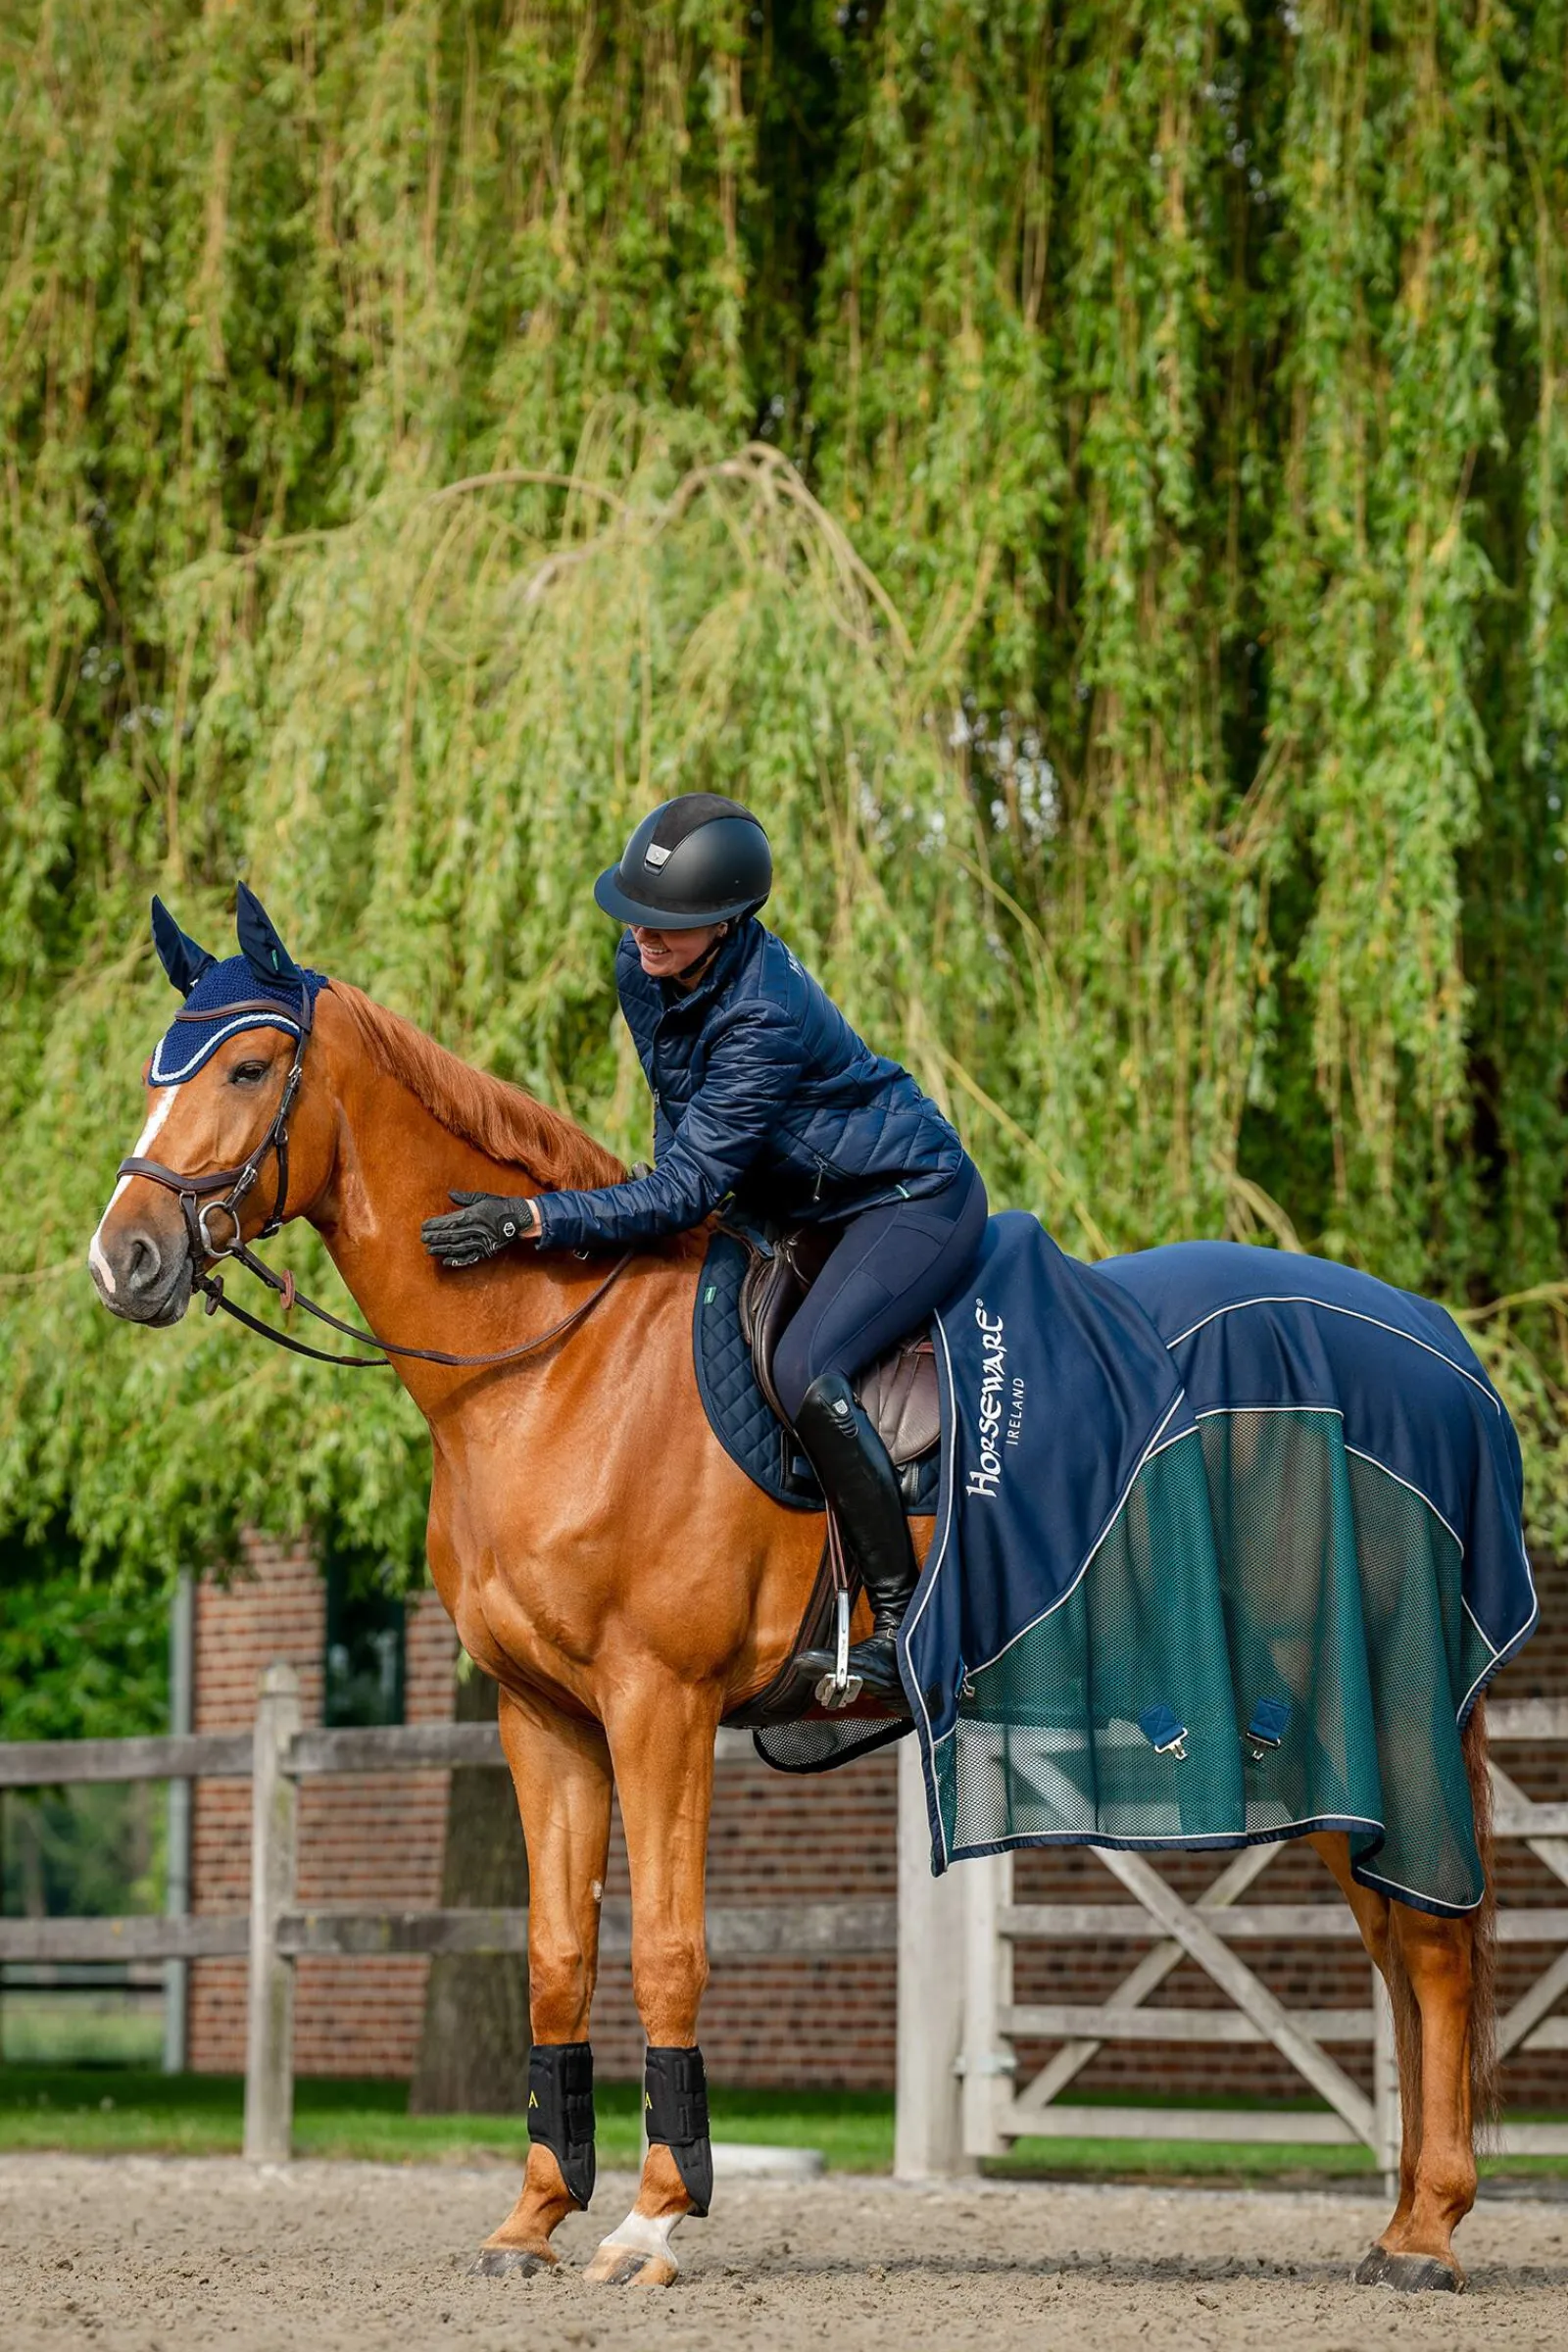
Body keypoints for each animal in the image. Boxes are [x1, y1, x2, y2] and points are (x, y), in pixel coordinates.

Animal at [89, 893, 1499, 2293]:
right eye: (156, 1068)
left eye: (248, 1068)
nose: (126, 1262)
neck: (551, 1369)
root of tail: (1438, 1350)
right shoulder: (542, 1719)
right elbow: (555, 1958)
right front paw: (534, 2216)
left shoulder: (659, 1707)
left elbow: (667, 1947)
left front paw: (654, 2218)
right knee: (1402, 1940)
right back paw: (1401, 2222)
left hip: (1361, 1707)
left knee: (1428, 1947)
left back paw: (1428, 2232)